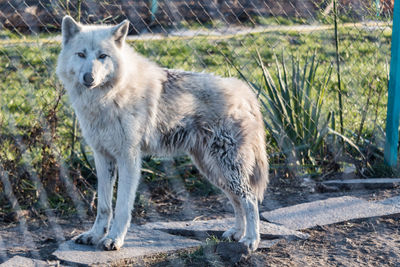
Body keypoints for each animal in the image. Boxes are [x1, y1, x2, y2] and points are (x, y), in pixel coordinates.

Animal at [56, 15, 268, 252]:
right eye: (81, 54)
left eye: (103, 56)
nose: (88, 77)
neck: (108, 97)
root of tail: (245, 90)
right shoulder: (102, 157)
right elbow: (104, 206)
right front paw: (94, 235)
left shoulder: (129, 158)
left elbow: (121, 208)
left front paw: (114, 239)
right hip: (212, 170)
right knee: (236, 200)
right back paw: (236, 233)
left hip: (227, 167)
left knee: (250, 199)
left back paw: (251, 240)